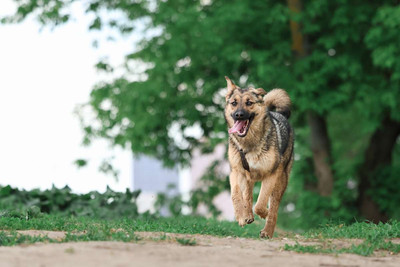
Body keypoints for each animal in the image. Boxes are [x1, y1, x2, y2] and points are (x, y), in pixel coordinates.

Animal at [225, 77, 294, 239]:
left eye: (249, 102)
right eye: (234, 103)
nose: (238, 115)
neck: (249, 144)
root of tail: (280, 114)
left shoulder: (271, 175)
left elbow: (261, 203)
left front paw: (264, 213)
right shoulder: (236, 172)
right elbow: (236, 195)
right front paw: (241, 216)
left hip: (281, 181)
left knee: (274, 206)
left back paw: (267, 231)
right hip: (248, 178)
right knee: (248, 196)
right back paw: (248, 215)